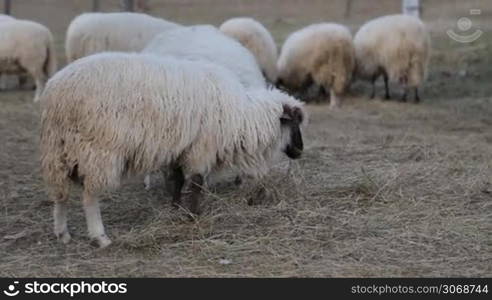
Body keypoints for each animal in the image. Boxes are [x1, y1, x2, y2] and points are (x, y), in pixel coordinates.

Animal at [40, 52, 306, 248]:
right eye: (294, 122)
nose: (300, 150)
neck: (242, 118)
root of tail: (56, 93)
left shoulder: (181, 148)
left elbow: (177, 180)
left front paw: (175, 208)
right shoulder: (201, 148)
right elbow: (196, 182)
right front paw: (193, 215)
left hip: (58, 148)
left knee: (60, 193)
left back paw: (62, 233)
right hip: (98, 150)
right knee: (89, 196)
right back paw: (99, 236)